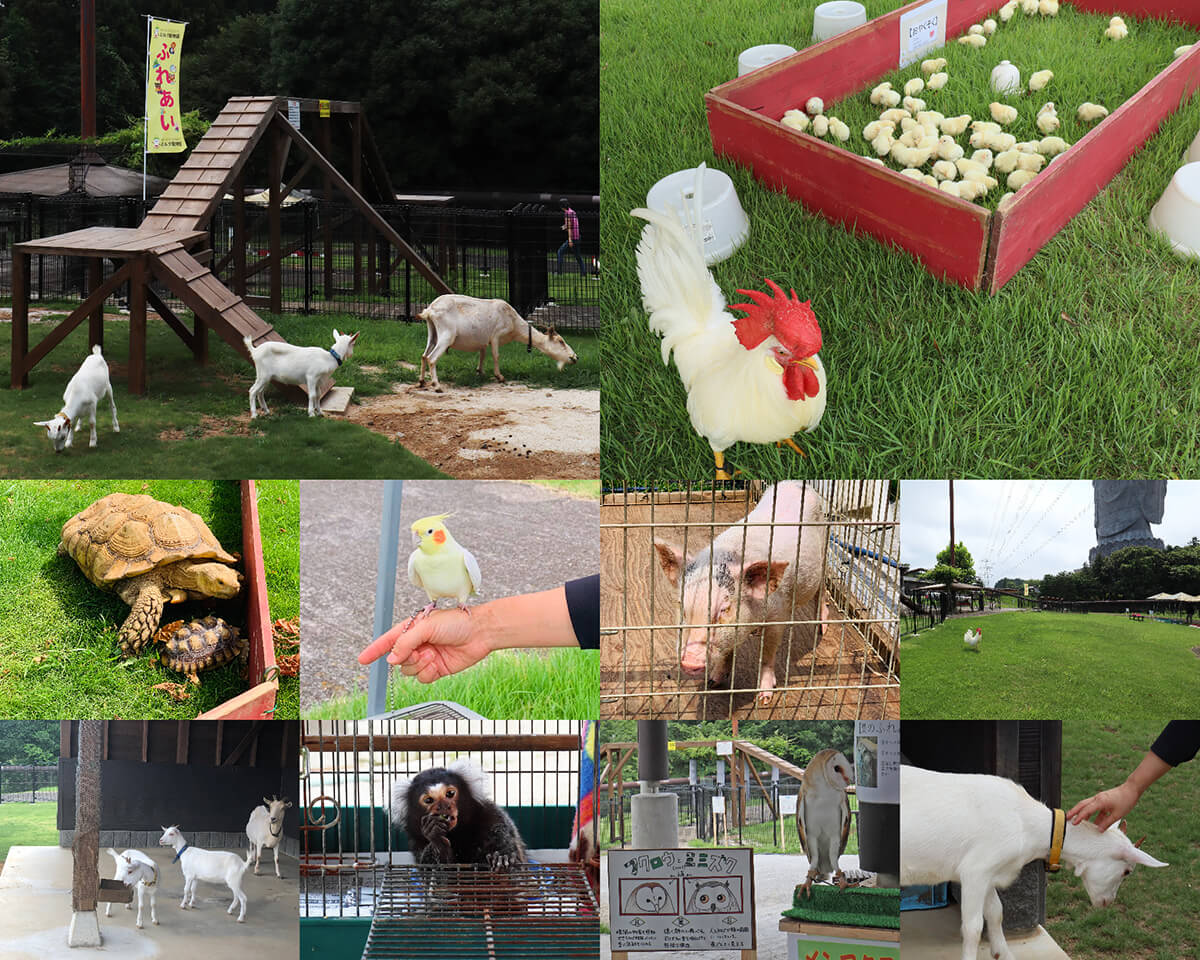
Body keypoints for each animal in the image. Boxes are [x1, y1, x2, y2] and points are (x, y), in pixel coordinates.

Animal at [417, 292, 576, 388]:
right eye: (561, 341)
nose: (575, 357)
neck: (514, 322)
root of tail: (430, 310)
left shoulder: (483, 340)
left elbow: (482, 355)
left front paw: (480, 372)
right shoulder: (496, 335)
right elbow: (496, 355)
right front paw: (500, 377)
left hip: (433, 334)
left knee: (424, 355)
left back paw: (422, 381)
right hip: (446, 335)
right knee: (432, 358)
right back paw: (436, 385)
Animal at [902, 763, 1161, 960]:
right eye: (1127, 871)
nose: (1107, 902)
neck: (1026, 824)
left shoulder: (988, 873)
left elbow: (996, 912)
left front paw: (1003, 954)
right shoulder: (975, 870)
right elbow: (973, 927)